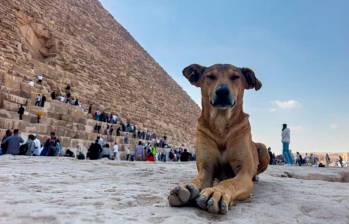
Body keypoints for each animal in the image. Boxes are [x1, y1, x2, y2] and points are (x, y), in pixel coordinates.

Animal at [169, 64, 270, 214]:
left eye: (235, 77)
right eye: (210, 76)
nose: (222, 91)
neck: (221, 125)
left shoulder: (244, 173)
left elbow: (229, 182)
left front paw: (217, 192)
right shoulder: (206, 168)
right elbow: (198, 179)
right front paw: (188, 187)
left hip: (263, 149)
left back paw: (255, 177)